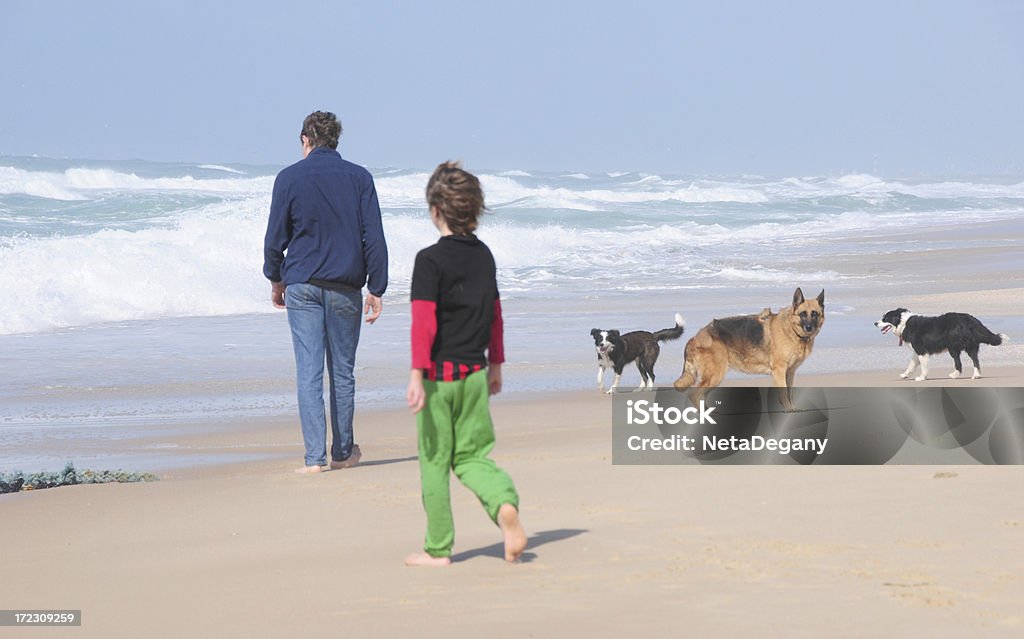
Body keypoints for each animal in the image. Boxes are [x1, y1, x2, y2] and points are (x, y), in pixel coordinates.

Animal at [671, 288, 823, 411]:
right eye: (803, 314)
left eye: (814, 314)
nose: (809, 327)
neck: (792, 329)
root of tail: (695, 338)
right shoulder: (780, 371)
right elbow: (784, 392)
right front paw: (788, 409)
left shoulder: (790, 372)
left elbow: (789, 392)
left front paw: (791, 407)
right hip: (715, 375)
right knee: (694, 394)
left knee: (700, 395)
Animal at [872, 309, 1007, 378]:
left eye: (885, 318)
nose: (874, 323)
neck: (903, 323)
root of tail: (970, 319)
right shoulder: (917, 351)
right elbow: (911, 364)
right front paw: (905, 374)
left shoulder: (921, 350)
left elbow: (923, 366)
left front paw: (922, 377)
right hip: (971, 346)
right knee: (976, 360)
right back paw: (976, 375)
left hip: (953, 347)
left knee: (959, 363)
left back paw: (954, 375)